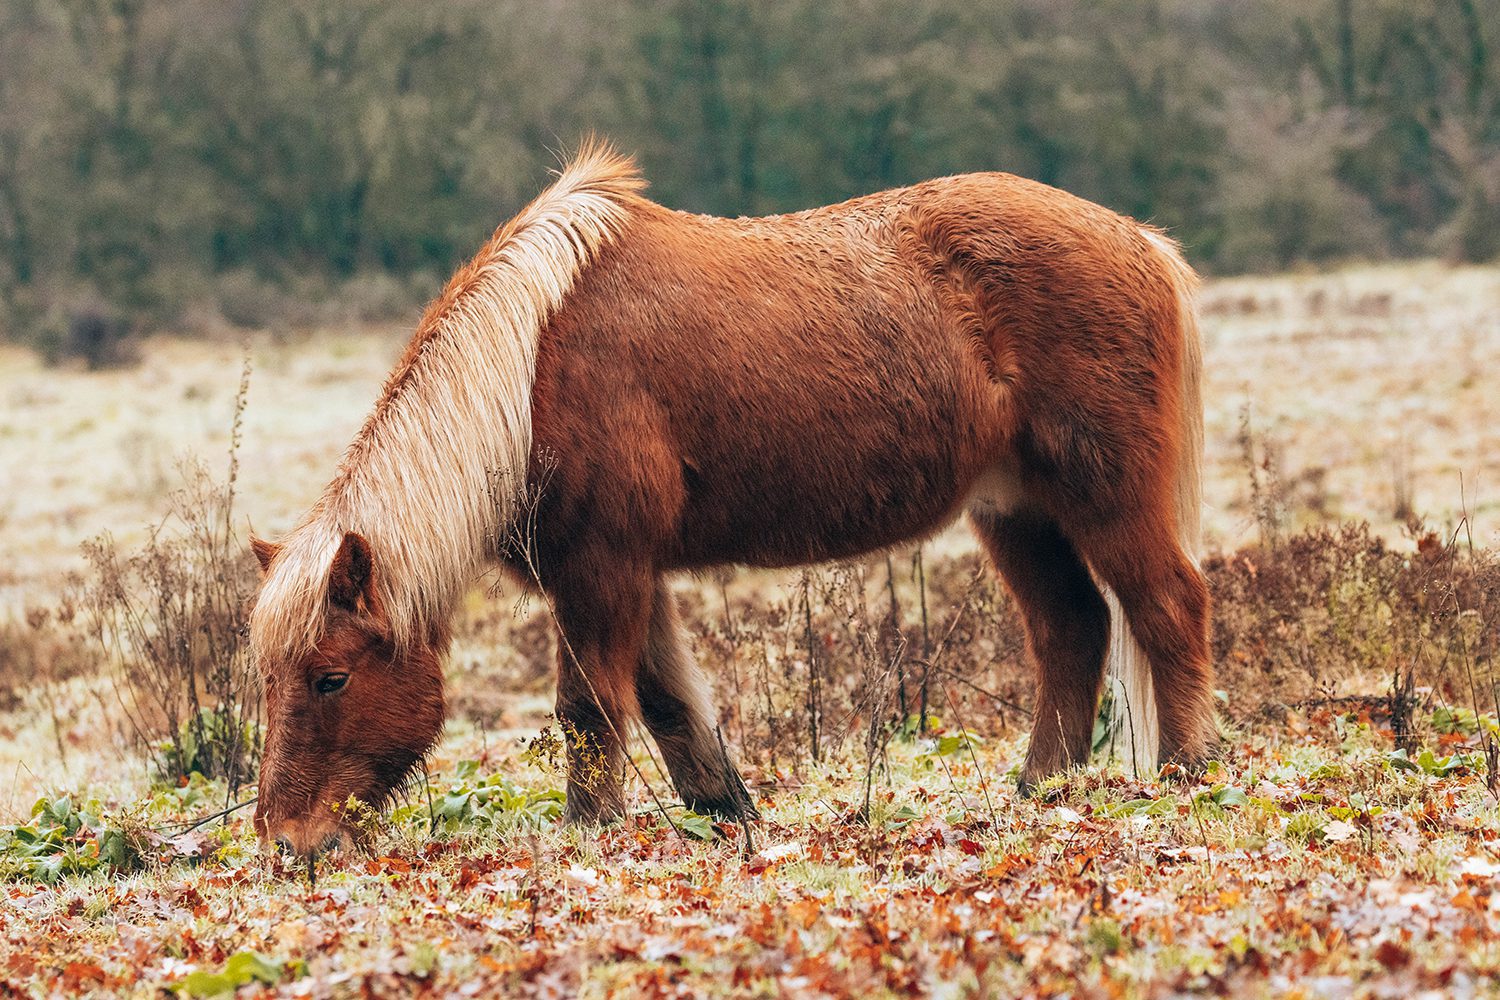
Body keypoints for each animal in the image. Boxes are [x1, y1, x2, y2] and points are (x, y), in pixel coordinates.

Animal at [246, 142, 1206, 863]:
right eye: (268, 679)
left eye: (331, 677)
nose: (287, 843)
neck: (529, 371)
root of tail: (1140, 240)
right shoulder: (632, 574)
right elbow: (669, 701)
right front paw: (726, 814)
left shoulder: (600, 569)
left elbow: (589, 707)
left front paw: (588, 831)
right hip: (1016, 509)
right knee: (1071, 626)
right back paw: (1044, 788)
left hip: (1105, 495)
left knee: (1167, 606)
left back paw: (1185, 771)